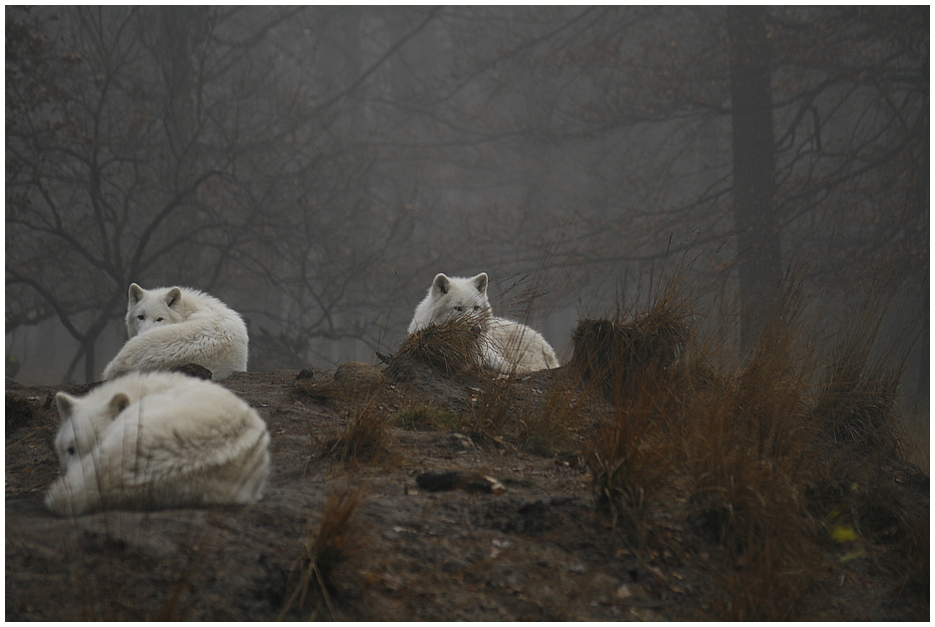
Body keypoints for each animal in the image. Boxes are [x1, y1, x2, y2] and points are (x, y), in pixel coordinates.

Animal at [408, 274, 556, 372]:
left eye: (476, 308)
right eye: (458, 308)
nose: (476, 329)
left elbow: (510, 367)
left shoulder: (490, 355)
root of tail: (549, 349)